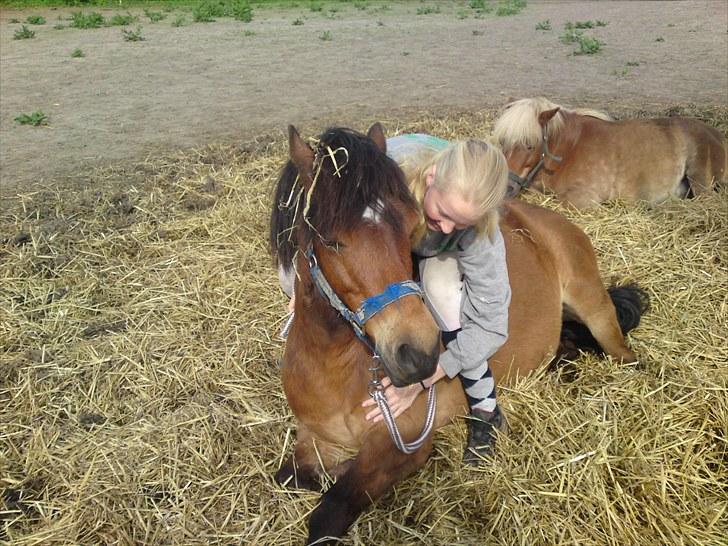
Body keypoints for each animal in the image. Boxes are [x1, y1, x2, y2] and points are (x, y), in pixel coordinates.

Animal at [269, 123, 648, 545]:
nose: (417, 355)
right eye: (331, 240)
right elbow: (289, 477)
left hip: (594, 306)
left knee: (624, 355)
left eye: (410, 226)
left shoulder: (405, 444)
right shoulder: (313, 439)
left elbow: (330, 511)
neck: (334, 368)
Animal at [493, 97, 727, 208]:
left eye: (530, 145)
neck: (569, 150)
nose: (506, 187)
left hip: (700, 181)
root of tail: (717, 134)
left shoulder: (583, 198)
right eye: (502, 141)